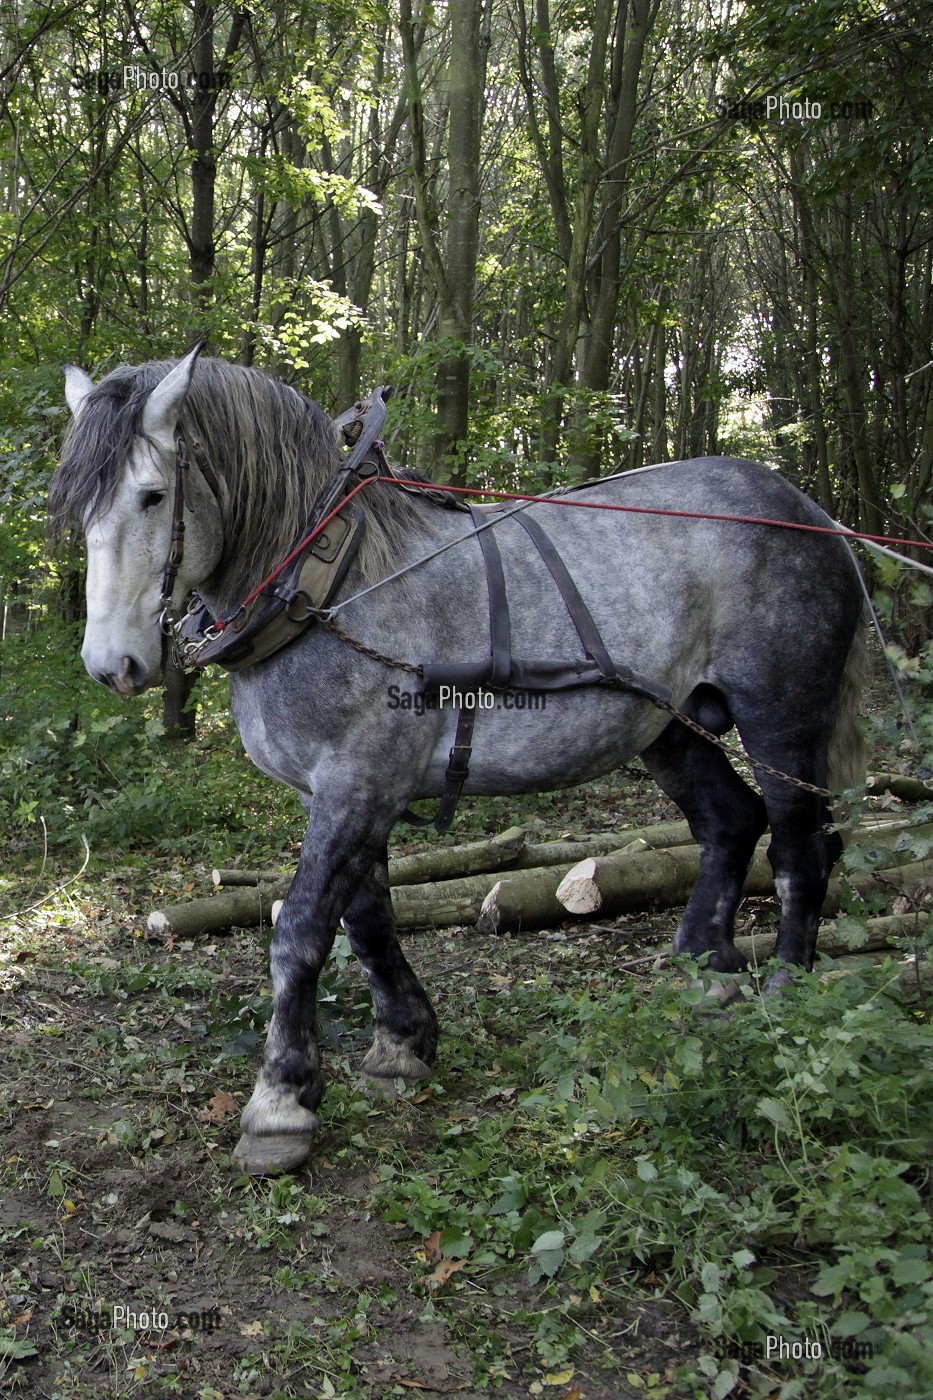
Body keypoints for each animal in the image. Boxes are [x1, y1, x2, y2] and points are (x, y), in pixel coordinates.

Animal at [49, 344, 866, 1175]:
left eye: (152, 496)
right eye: (78, 509)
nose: (111, 666)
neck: (331, 586)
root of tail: (804, 509)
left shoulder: (358, 780)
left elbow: (302, 927)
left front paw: (280, 1100)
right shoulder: (339, 791)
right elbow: (367, 917)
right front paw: (403, 1041)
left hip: (780, 715)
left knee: (798, 846)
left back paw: (788, 994)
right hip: (667, 725)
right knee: (729, 821)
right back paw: (706, 970)